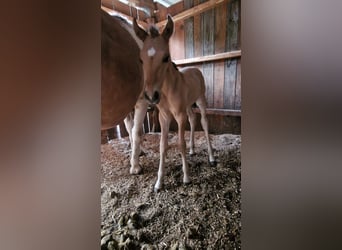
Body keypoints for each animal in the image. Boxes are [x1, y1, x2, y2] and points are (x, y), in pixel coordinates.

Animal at [133, 15, 215, 191]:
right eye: (141, 59)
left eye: (165, 58)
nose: (151, 96)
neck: (168, 89)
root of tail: (195, 69)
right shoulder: (164, 117)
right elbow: (163, 145)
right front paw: (159, 182)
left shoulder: (179, 115)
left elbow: (180, 143)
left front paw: (186, 177)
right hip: (188, 105)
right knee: (193, 119)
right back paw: (192, 150)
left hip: (200, 99)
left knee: (204, 122)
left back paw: (212, 157)